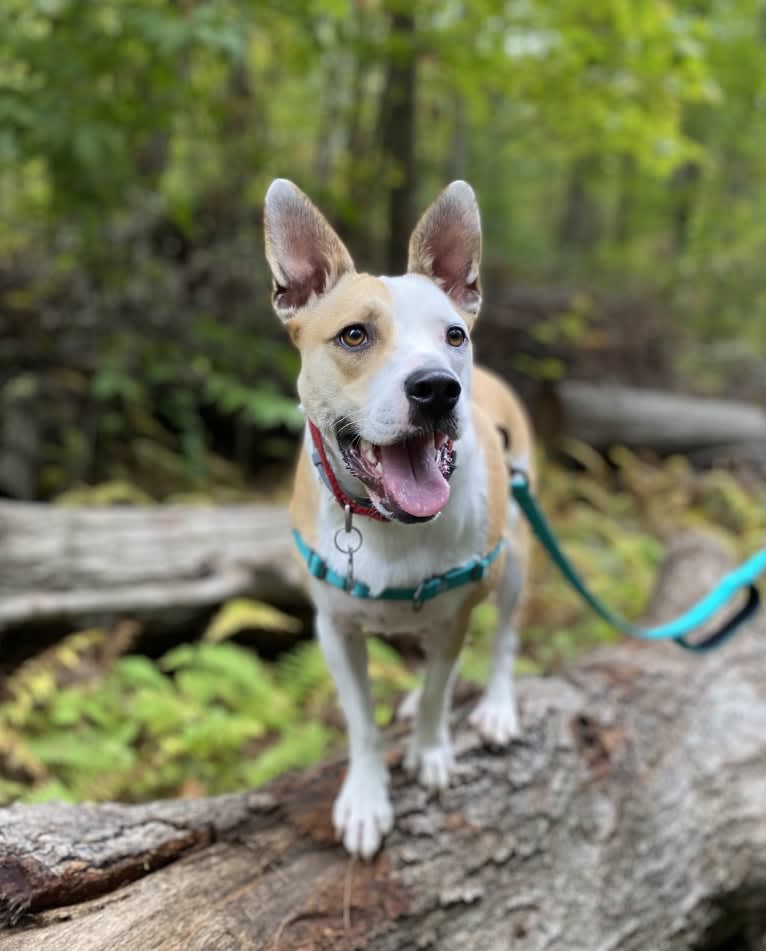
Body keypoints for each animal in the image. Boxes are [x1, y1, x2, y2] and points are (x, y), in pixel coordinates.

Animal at [264, 177, 536, 856]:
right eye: (354, 335)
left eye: (454, 336)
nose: (438, 388)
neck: (386, 524)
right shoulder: (335, 629)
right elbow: (361, 722)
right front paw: (366, 797)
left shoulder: (460, 609)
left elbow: (443, 686)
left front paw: (431, 750)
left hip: (517, 559)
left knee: (502, 641)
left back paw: (496, 705)